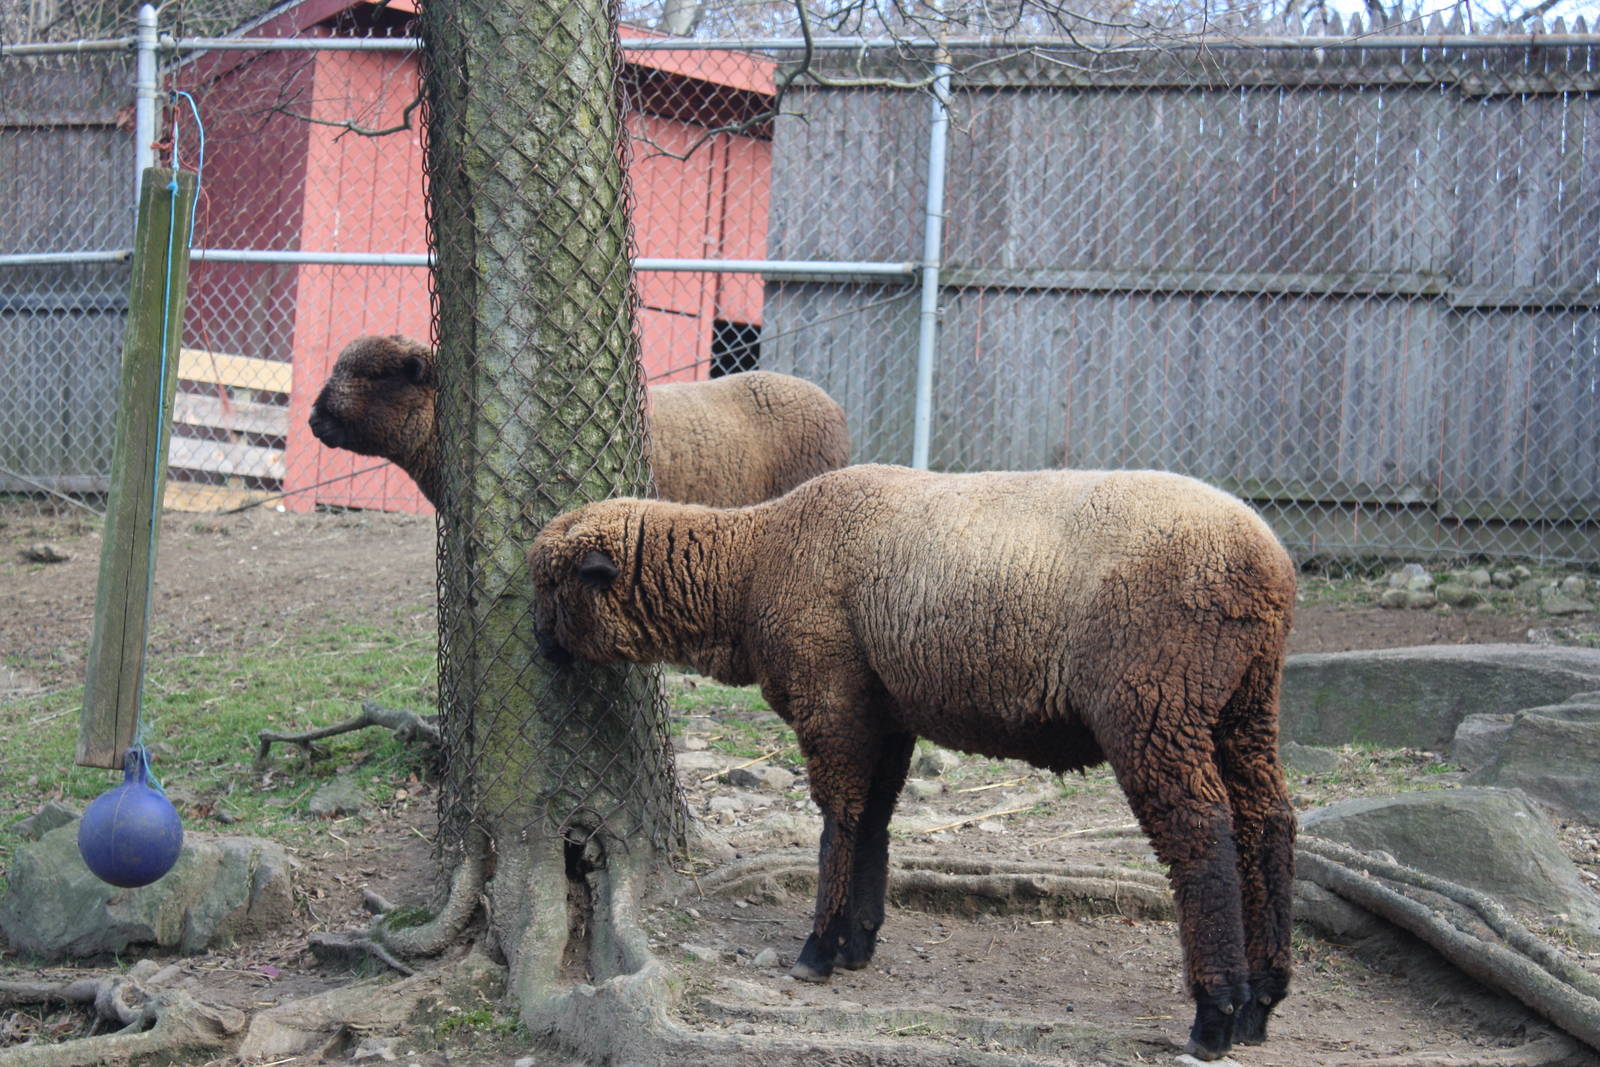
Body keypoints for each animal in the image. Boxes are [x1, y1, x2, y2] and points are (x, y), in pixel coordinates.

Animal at [527, 463, 1298, 1061]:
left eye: (554, 585)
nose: (535, 647)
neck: (752, 566)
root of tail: (1267, 565)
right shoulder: (885, 709)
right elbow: (874, 817)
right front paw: (858, 939)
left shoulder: (831, 694)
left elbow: (839, 817)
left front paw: (817, 949)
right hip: (1245, 702)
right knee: (1269, 823)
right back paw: (1263, 1000)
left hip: (1155, 699)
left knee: (1201, 834)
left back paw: (1215, 1014)